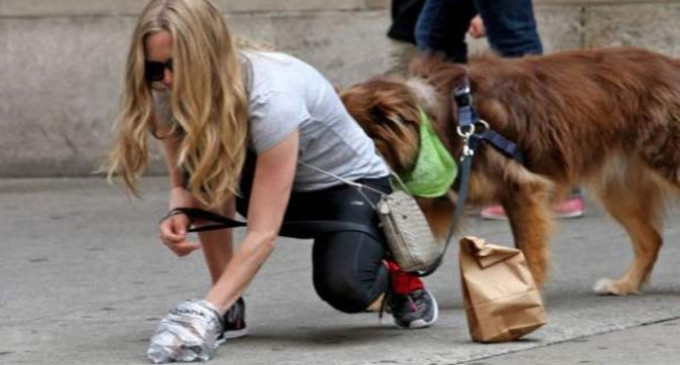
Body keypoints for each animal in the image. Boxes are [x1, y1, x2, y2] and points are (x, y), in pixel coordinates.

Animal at [342, 47, 680, 294]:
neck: (439, 121)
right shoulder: (443, 199)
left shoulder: (522, 189)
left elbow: (527, 250)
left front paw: (527, 290)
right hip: (617, 189)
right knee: (651, 240)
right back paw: (624, 284)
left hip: (664, 163)